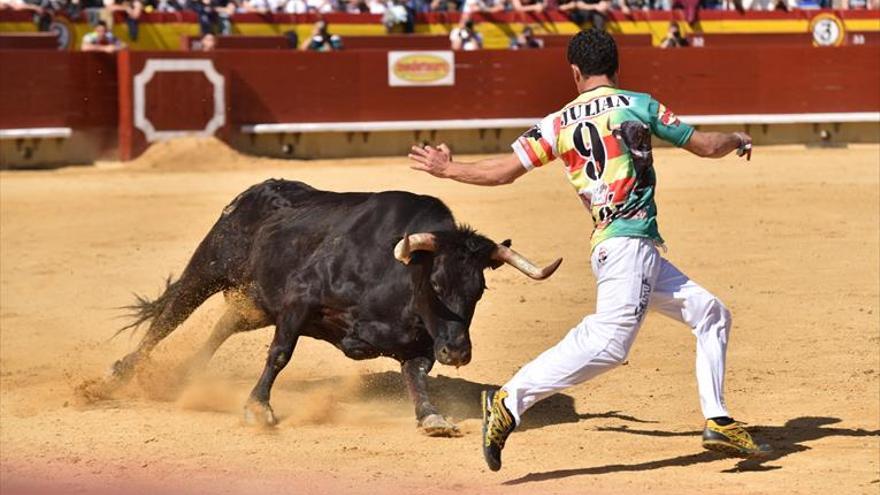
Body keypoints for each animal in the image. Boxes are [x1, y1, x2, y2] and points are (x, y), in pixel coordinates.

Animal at [99, 180, 560, 436]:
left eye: (479, 289)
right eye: (435, 284)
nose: (457, 353)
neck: (394, 275)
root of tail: (254, 191)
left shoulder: (416, 346)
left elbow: (416, 378)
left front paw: (432, 419)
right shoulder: (298, 300)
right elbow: (280, 354)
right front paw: (258, 408)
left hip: (256, 303)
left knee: (222, 325)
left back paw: (186, 375)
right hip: (209, 268)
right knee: (169, 316)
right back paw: (117, 375)